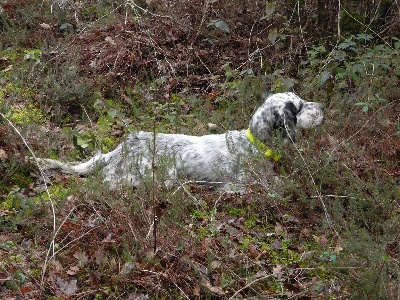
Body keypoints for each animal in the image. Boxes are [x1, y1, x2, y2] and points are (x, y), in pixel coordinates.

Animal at [32, 92, 324, 190]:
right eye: (300, 106)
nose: (323, 107)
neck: (254, 143)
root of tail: (120, 148)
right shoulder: (240, 185)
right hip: (160, 175)